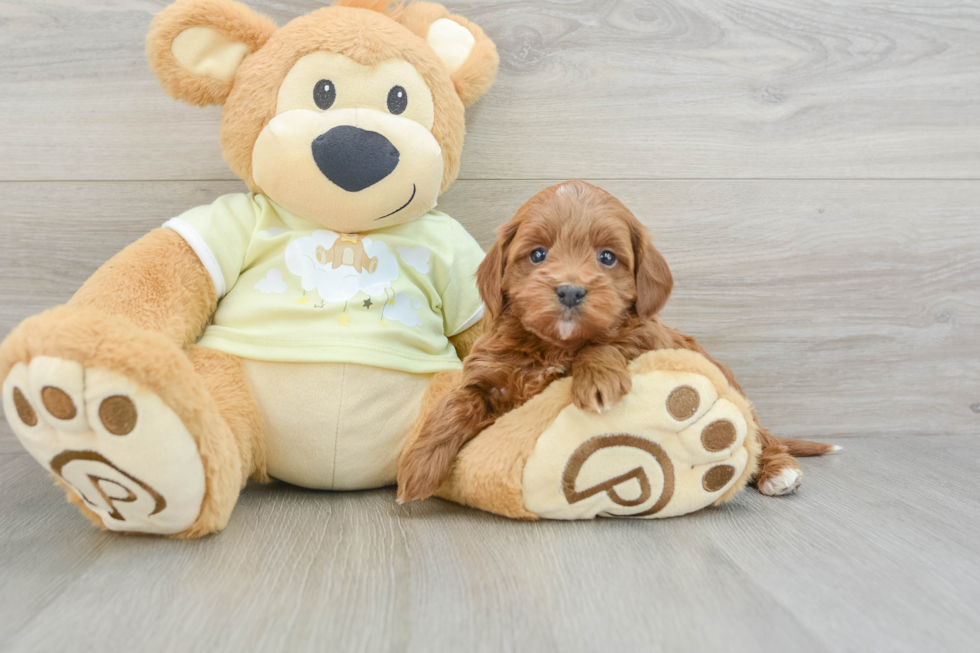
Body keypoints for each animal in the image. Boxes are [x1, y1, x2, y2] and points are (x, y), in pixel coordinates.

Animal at [398, 181, 836, 502]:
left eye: (607, 258)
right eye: (537, 254)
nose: (570, 291)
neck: (554, 345)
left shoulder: (646, 338)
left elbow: (605, 343)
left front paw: (596, 380)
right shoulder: (491, 375)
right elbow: (456, 403)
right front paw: (417, 467)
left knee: (759, 437)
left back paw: (780, 470)